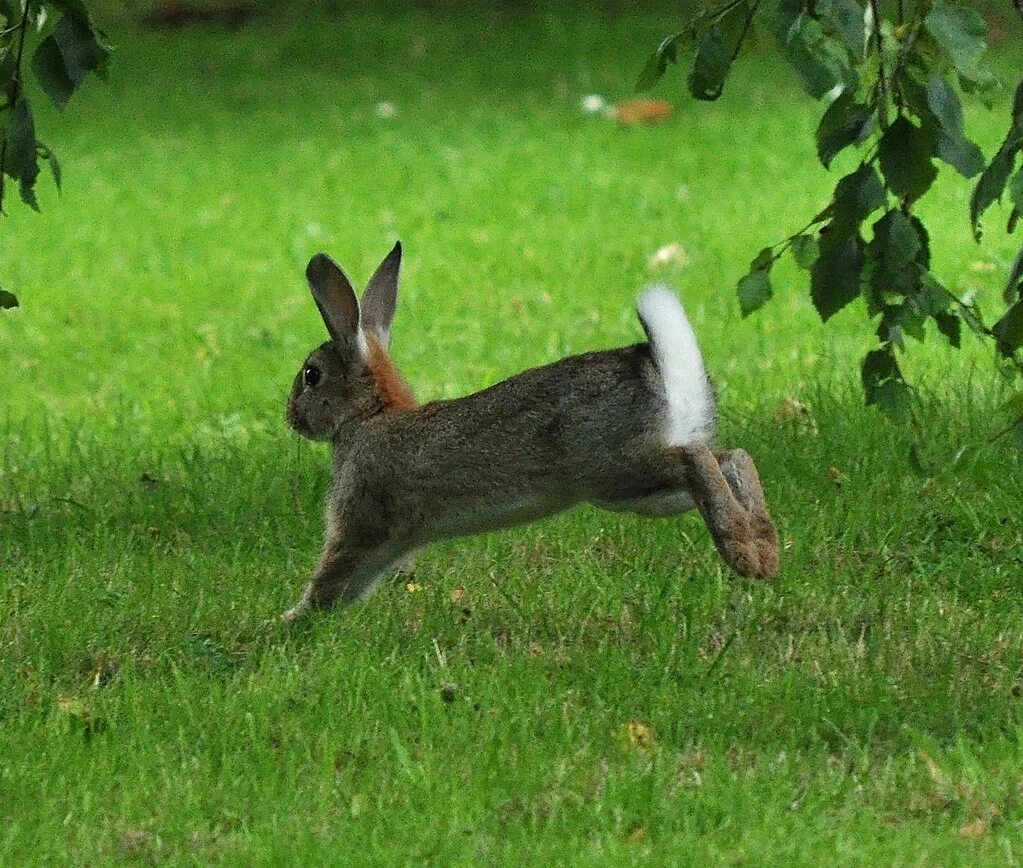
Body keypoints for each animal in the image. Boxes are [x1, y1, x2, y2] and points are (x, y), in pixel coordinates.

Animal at [280, 243, 773, 622]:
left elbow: (332, 575)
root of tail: (661, 368)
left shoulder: (360, 521)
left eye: (311, 375)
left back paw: (744, 553)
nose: (291, 417)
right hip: (645, 494)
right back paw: (764, 548)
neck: (369, 415)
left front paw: (290, 621)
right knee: (732, 457)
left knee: (698, 458)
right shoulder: (390, 544)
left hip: (616, 470)